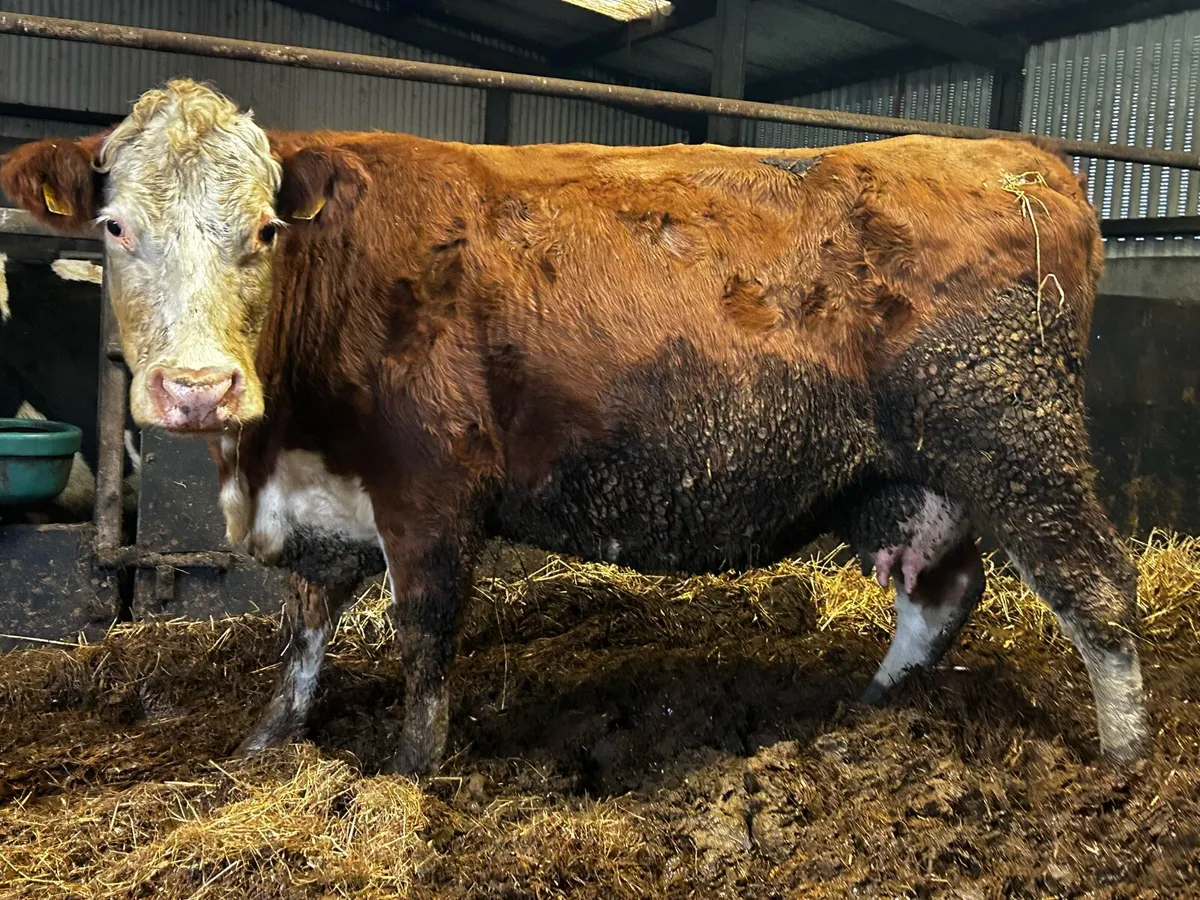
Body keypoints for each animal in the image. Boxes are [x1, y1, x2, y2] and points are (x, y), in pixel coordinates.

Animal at [1, 79, 1150, 776]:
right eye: (115, 226)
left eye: (266, 230)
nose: (198, 389)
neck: (271, 450)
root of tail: (1027, 162)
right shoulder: (319, 505)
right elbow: (303, 632)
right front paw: (263, 744)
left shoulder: (432, 490)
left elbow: (423, 640)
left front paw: (410, 775)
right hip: (923, 473)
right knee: (939, 593)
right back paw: (868, 713)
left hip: (1018, 438)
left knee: (1097, 586)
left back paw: (1126, 764)